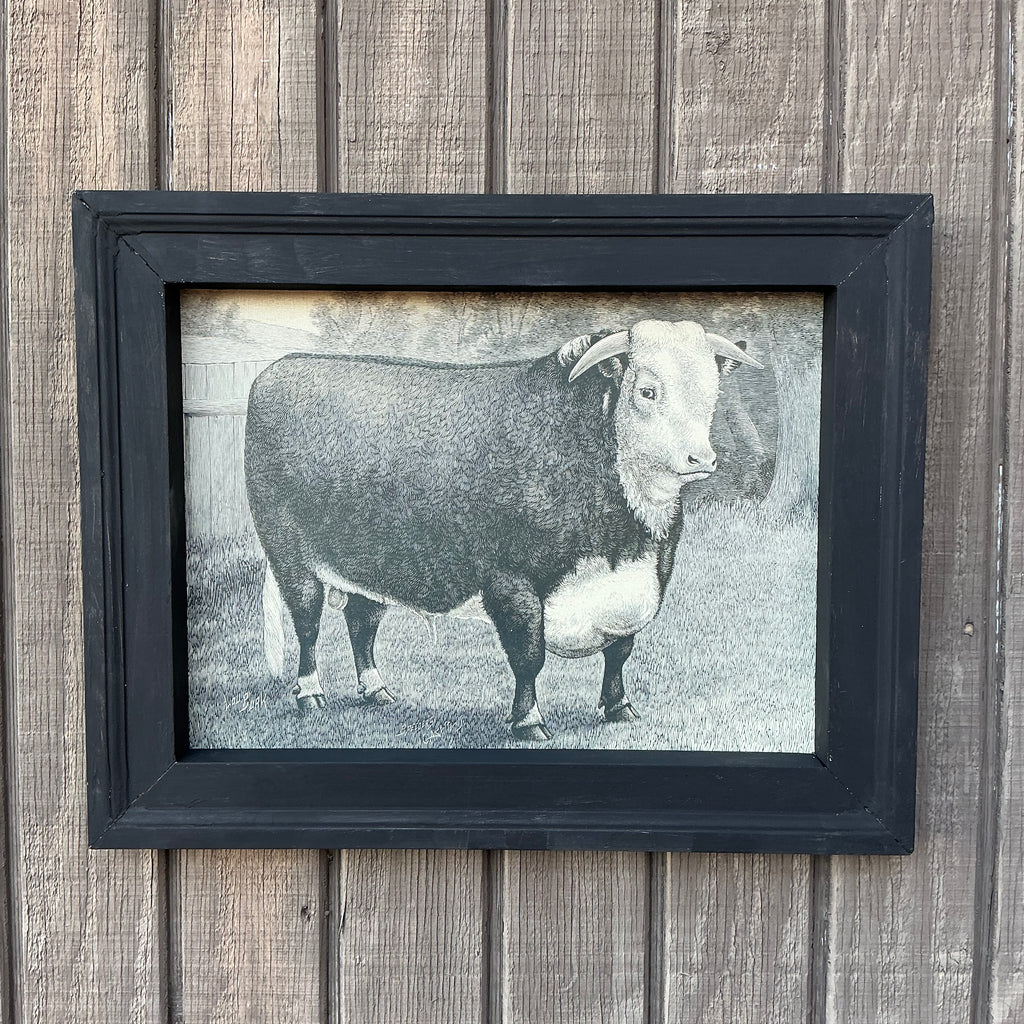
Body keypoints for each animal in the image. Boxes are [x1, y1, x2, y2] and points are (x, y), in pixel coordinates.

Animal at [244, 319, 762, 741]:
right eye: (647, 391)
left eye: (712, 392)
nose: (701, 458)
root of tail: (285, 364)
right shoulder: (511, 581)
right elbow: (528, 656)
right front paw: (528, 721)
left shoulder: (637, 585)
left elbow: (620, 651)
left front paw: (618, 708)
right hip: (288, 550)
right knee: (308, 621)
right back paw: (309, 694)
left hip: (371, 558)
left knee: (361, 618)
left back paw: (376, 691)